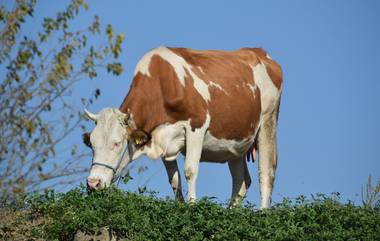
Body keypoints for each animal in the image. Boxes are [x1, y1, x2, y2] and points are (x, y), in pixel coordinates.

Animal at [83, 46, 280, 208]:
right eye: (91, 144)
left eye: (117, 143)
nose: (93, 183)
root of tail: (259, 52)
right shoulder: (161, 138)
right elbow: (174, 179)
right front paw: (180, 207)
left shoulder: (196, 127)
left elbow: (190, 171)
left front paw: (192, 207)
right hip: (236, 141)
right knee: (241, 180)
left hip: (268, 121)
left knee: (266, 173)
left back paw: (263, 213)